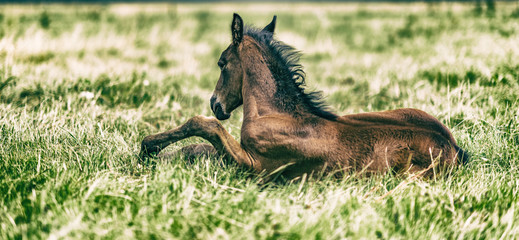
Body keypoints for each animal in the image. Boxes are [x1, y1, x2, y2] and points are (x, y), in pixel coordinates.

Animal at [140, 13, 470, 178]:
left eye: (222, 63)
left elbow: (205, 127)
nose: (215, 103)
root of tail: (456, 150)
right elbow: (199, 147)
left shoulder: (257, 167)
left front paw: (147, 147)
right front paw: (157, 157)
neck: (276, 113)